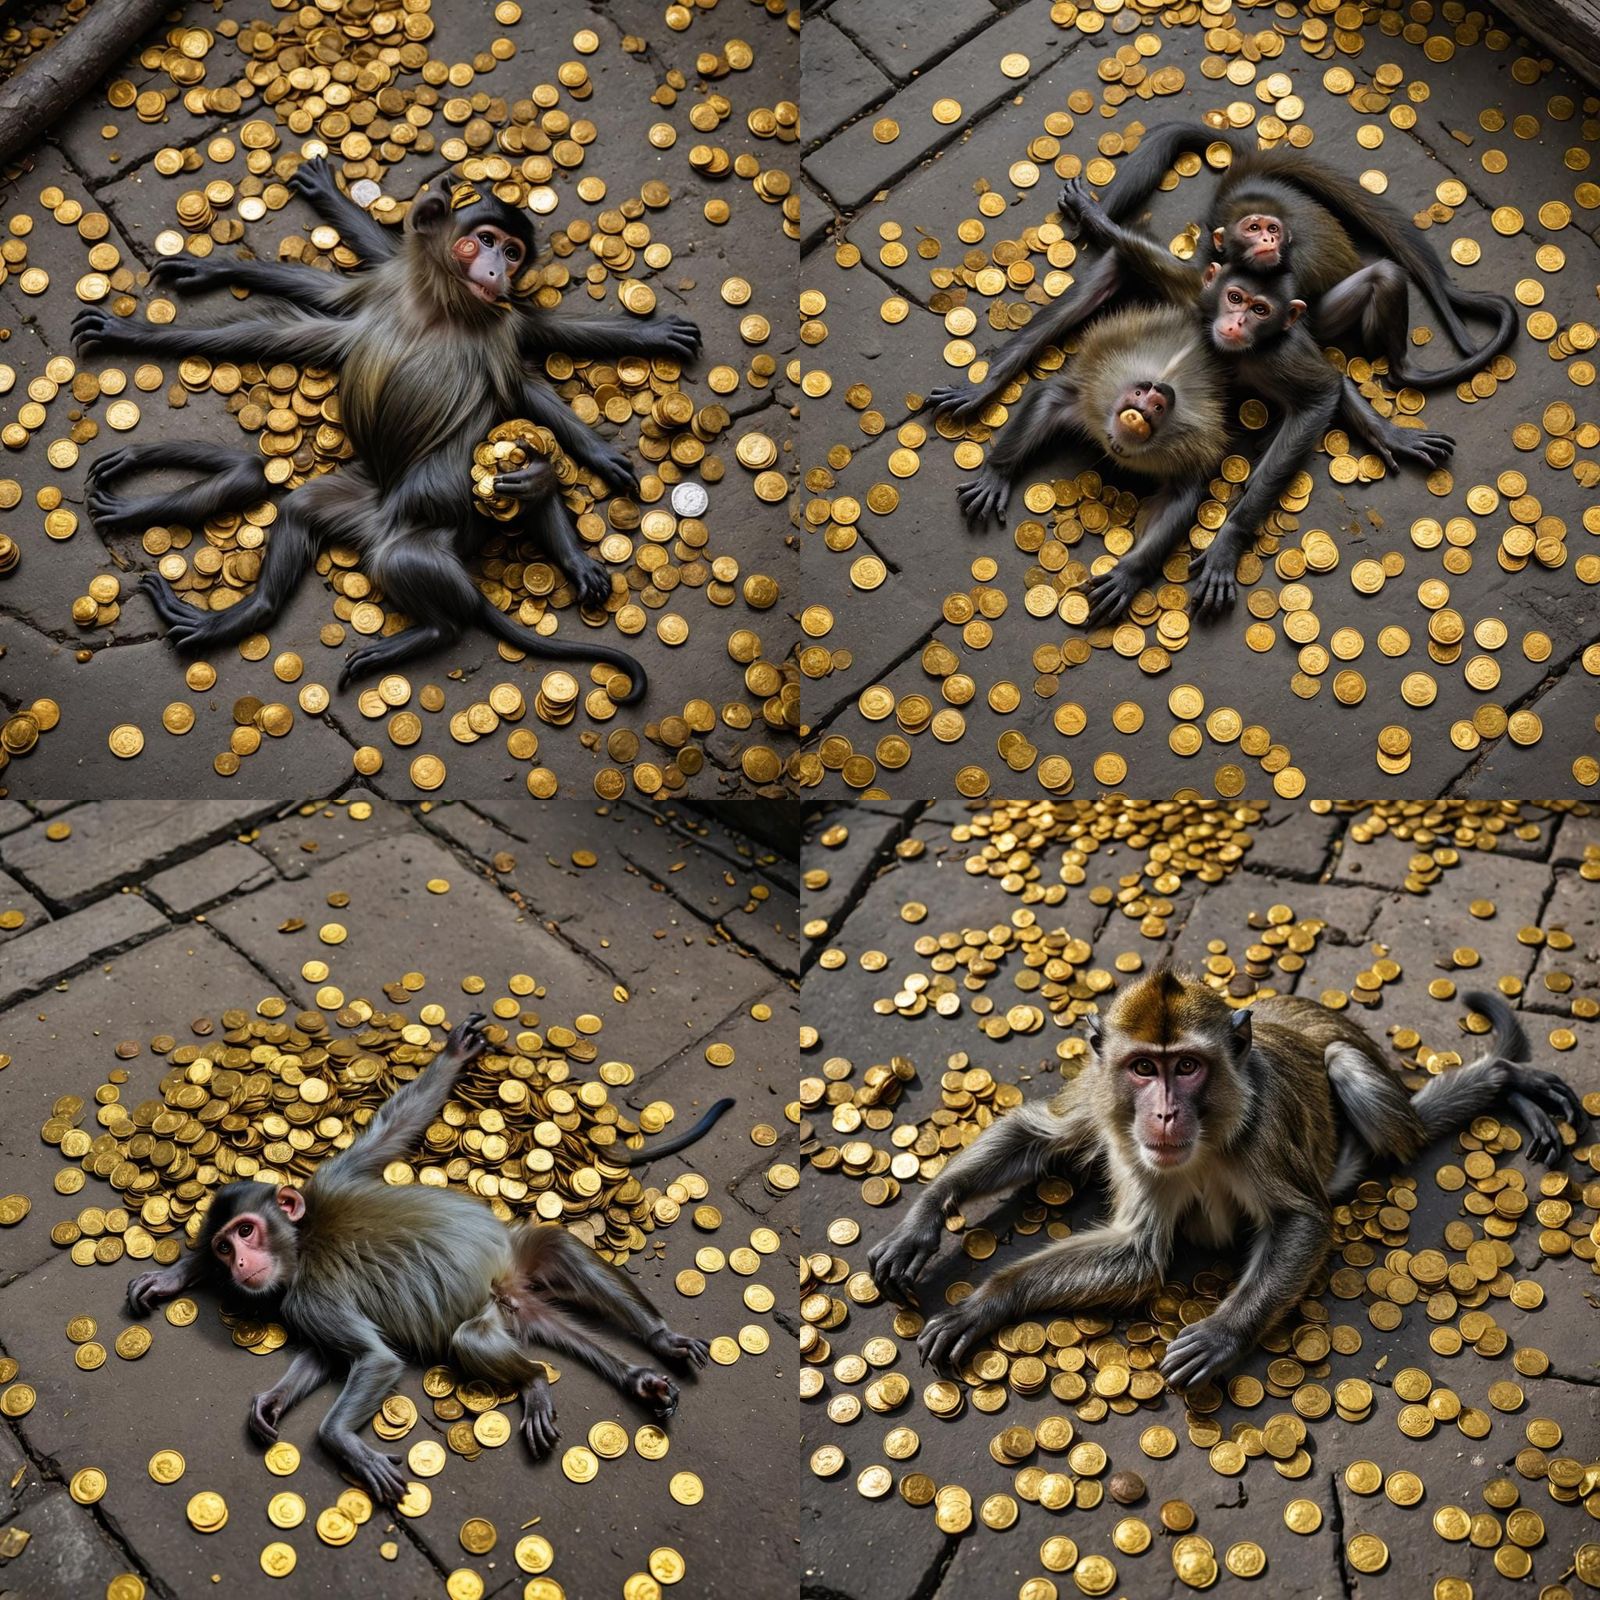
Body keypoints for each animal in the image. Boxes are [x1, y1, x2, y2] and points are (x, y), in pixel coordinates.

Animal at [73, 184, 652, 699]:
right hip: (362, 501)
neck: (438, 310)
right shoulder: (380, 296)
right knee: (300, 508)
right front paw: (146, 321)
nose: (497, 271)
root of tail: (382, 525)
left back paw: (432, 625)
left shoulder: (498, 333)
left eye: (512, 254)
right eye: (486, 241)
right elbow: (275, 326)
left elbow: (527, 406)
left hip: (421, 535)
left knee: (420, 559)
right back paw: (245, 613)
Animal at [123, 1014, 715, 1503]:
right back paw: (629, 1375)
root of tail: (509, 1292)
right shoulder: (307, 1281)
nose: (239, 1264)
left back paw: (582, 1365)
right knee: (524, 1296)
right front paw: (272, 1398)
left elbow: (376, 1358)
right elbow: (330, 1356)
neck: (305, 1238)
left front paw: (341, 1441)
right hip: (514, 1309)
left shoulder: (315, 1248)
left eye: (246, 1231)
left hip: (510, 1281)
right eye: (225, 1246)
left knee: (485, 1320)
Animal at [867, 968, 1583, 1392]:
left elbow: (1302, 1220)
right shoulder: (1103, 1097)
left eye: (1186, 1067)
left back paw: (1504, 1082)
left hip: (1358, 1066)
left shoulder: (1261, 1129)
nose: (1163, 1112)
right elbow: (1051, 1149)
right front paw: (937, 1234)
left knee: (1367, 1092)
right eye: (1143, 1069)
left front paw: (1222, 1333)